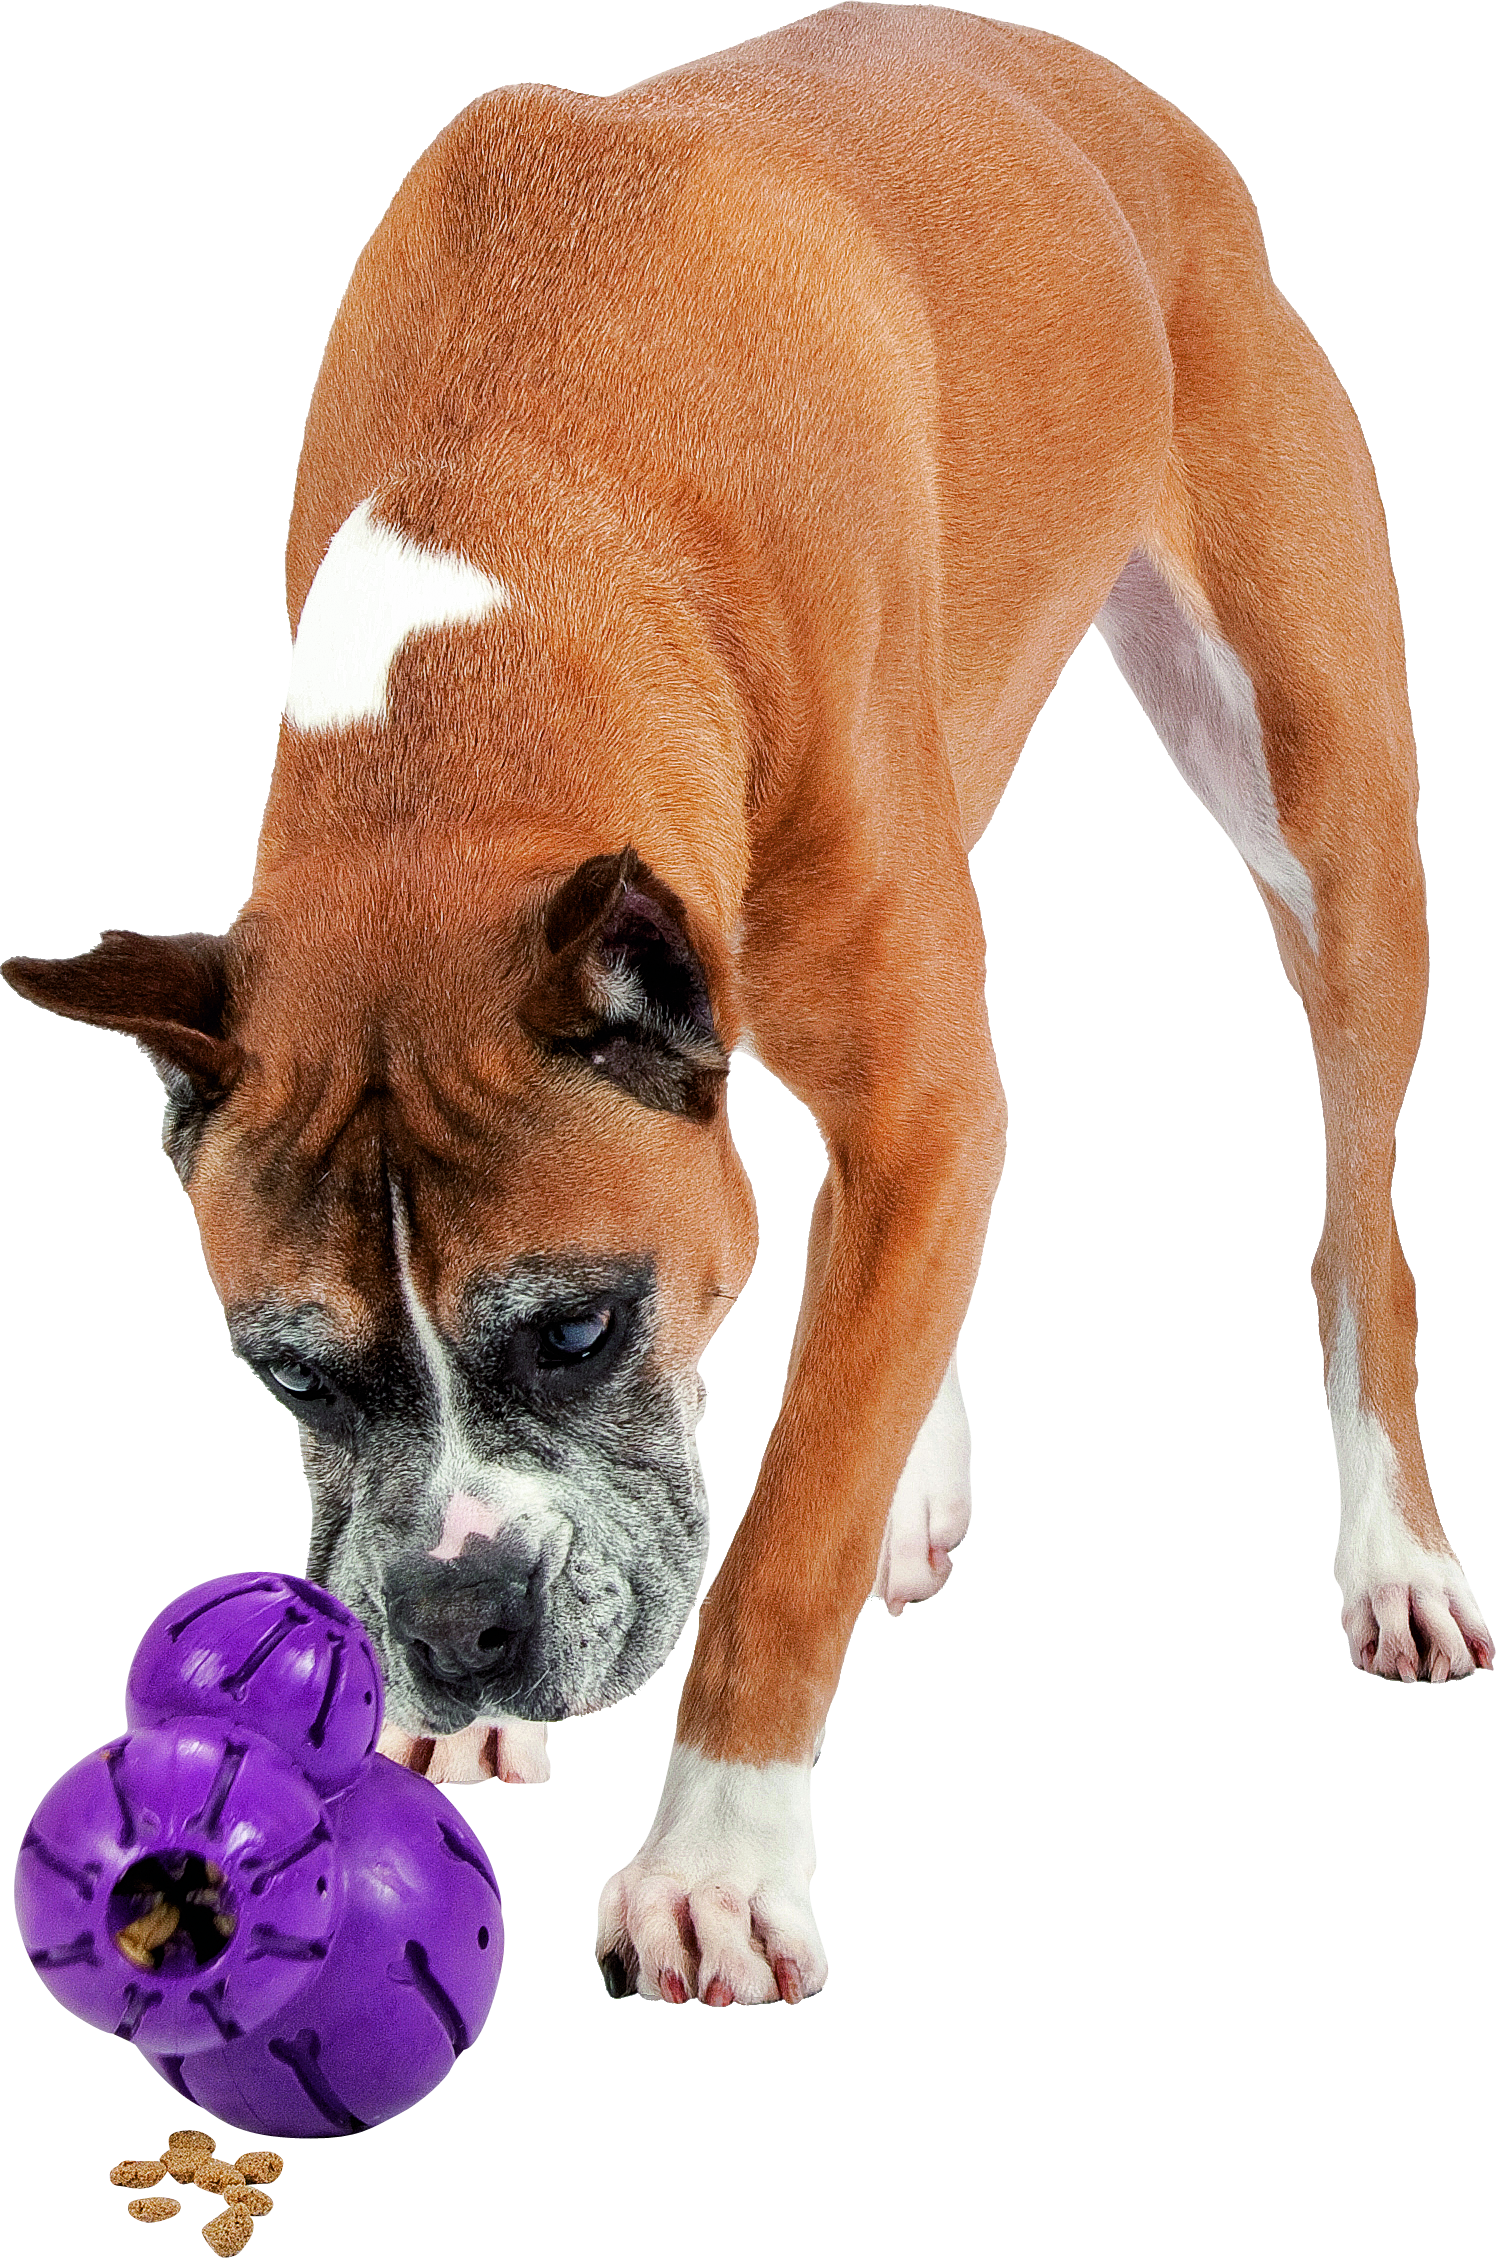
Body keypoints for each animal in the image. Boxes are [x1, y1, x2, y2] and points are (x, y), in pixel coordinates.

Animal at [6, 4, 1490, 2008]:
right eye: (288, 1367)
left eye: (575, 1327)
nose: (458, 1621)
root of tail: (1133, 107)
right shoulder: (867, 1074)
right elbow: (850, 1330)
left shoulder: (914, 1088)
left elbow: (785, 1531)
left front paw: (712, 1861)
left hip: (1329, 822)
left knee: (1354, 1219)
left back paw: (1392, 1548)